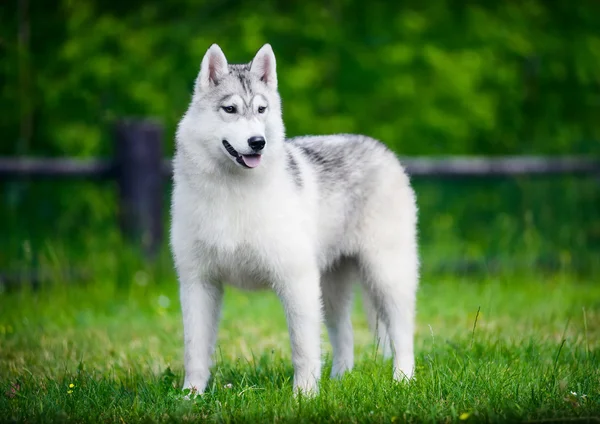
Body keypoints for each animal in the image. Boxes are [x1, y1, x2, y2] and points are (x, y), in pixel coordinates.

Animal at [171, 43, 420, 394]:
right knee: (344, 336)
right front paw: (190, 396)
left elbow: (303, 348)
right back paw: (340, 380)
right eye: (230, 109)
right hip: (330, 290)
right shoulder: (198, 283)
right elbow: (194, 350)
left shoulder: (296, 280)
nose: (258, 142)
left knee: (402, 335)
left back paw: (403, 380)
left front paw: (304, 395)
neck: (232, 191)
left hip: (386, 276)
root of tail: (381, 149)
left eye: (261, 109)